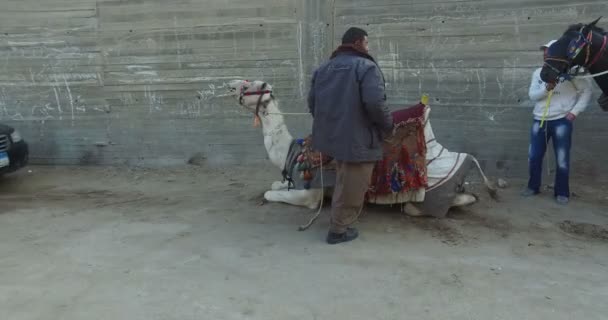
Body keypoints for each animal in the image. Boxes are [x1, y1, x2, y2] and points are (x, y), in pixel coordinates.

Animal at [226, 80, 496, 218]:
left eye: (250, 87)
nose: (230, 85)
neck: (291, 153)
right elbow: (277, 184)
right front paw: (278, 183)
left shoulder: (311, 195)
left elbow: (271, 193)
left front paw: (270, 193)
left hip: (426, 198)